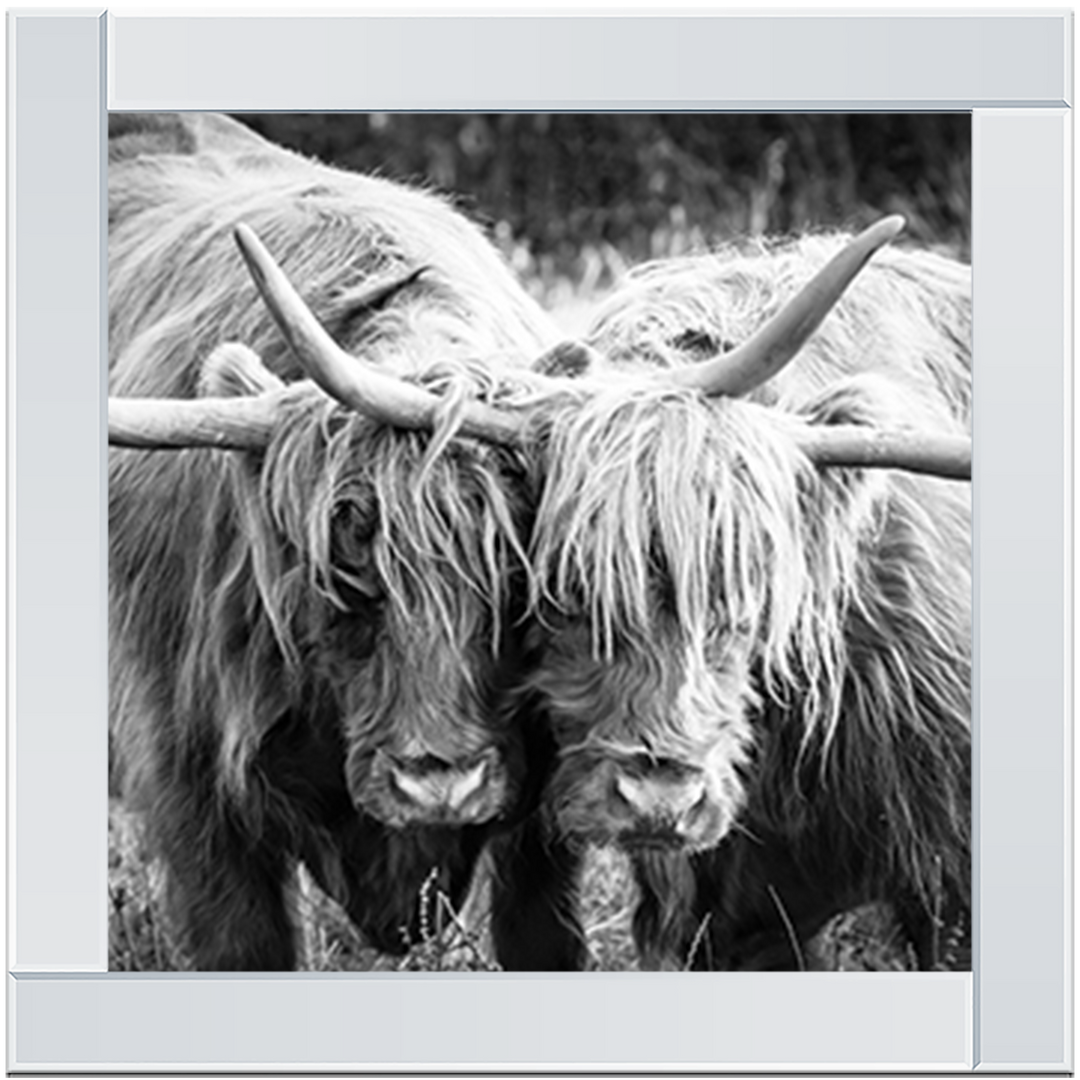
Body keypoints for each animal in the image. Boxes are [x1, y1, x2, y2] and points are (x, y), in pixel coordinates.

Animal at [107, 113, 585, 971]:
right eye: (344, 571)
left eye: (516, 578)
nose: (440, 784)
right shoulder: (189, 787)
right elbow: (242, 945)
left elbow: (543, 934)